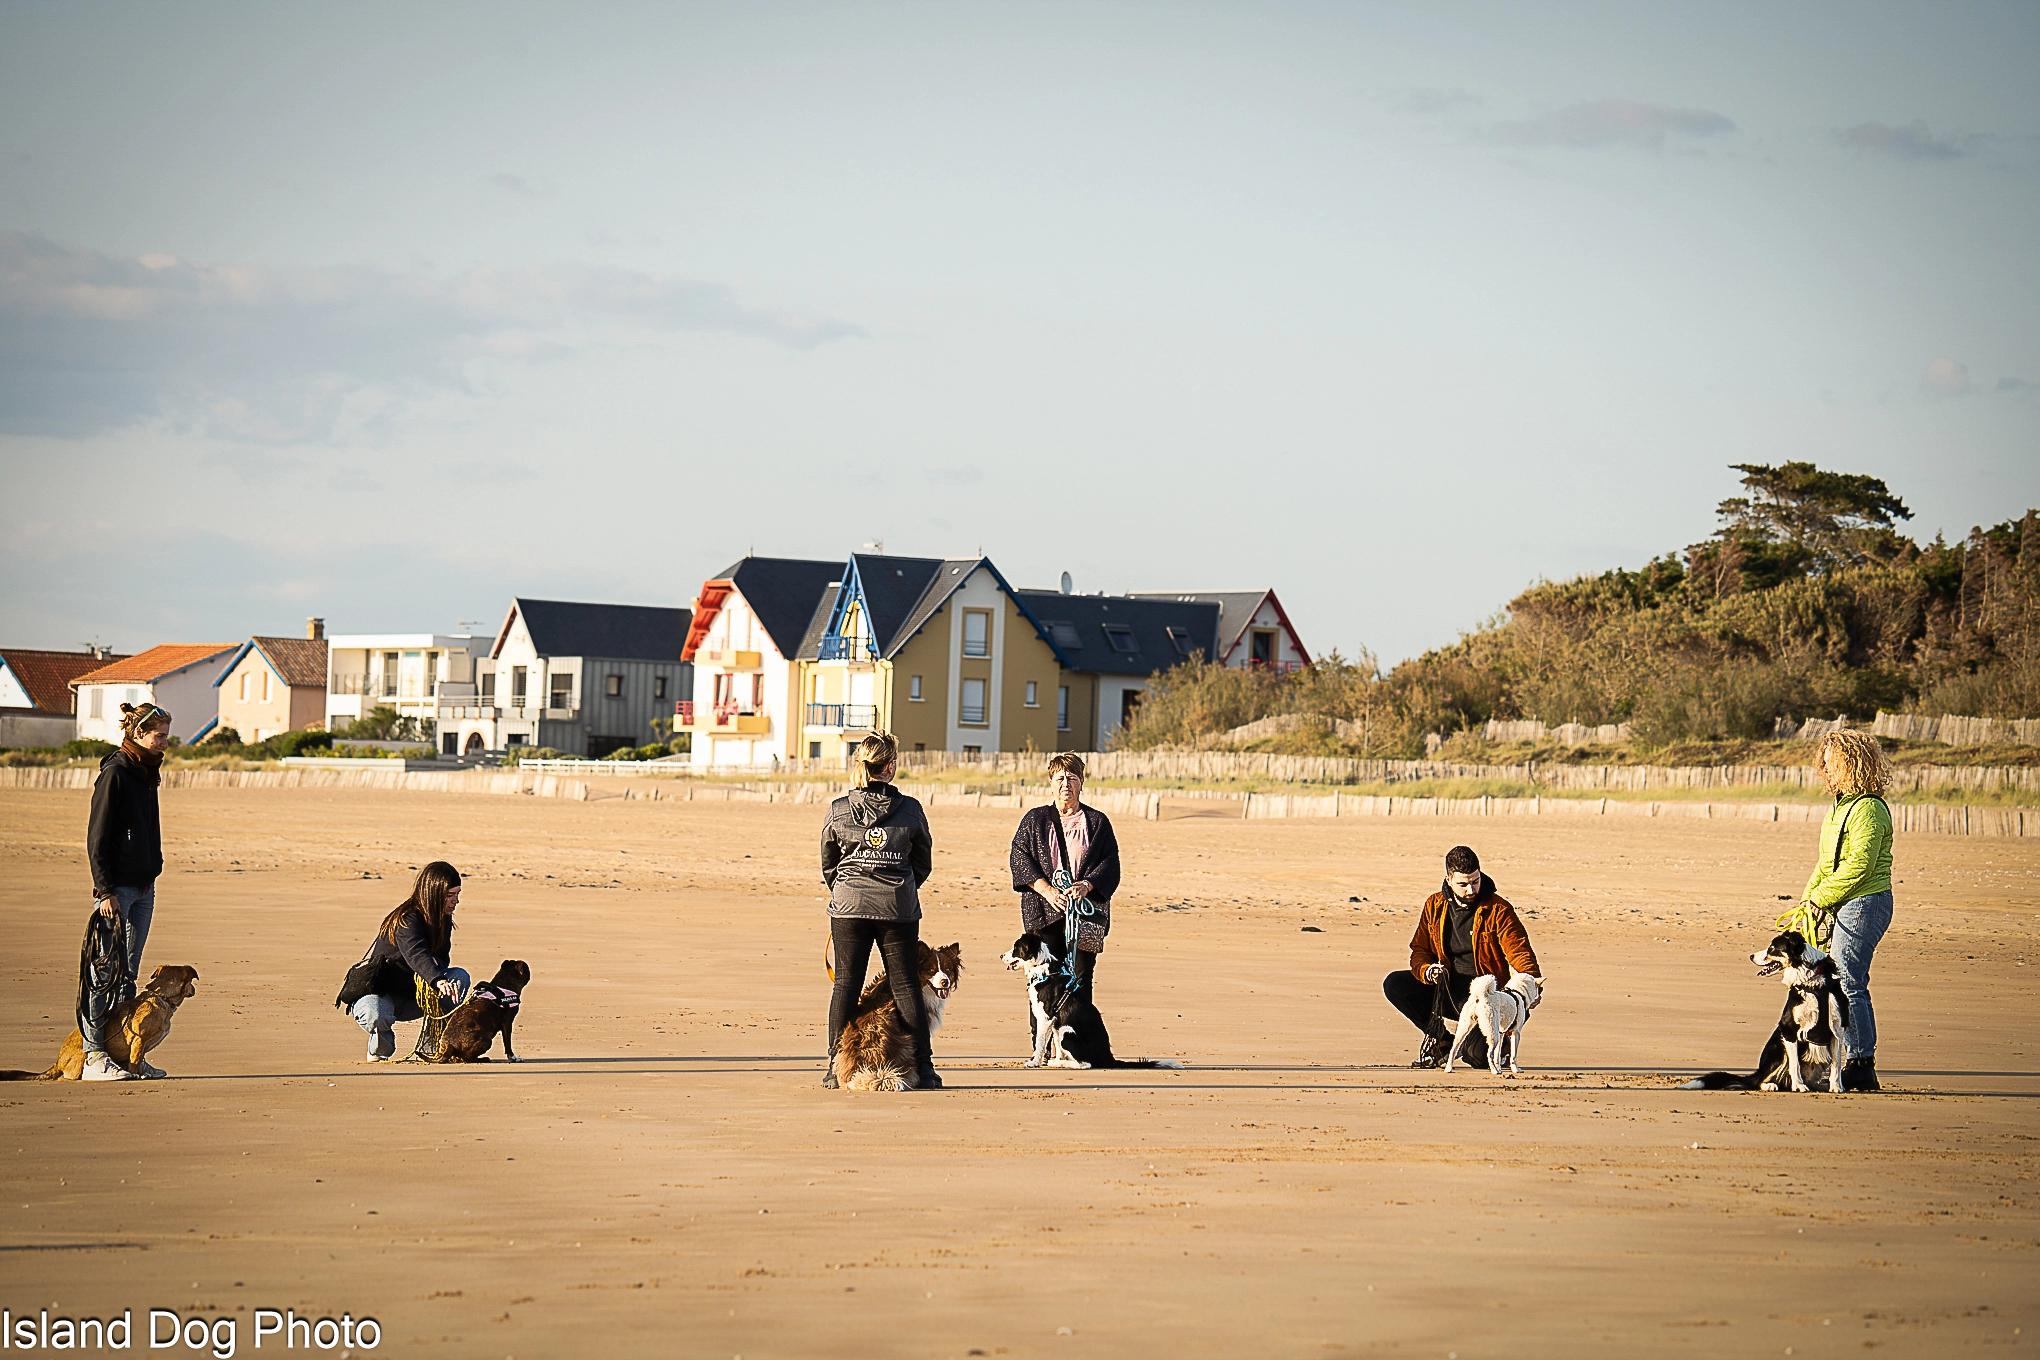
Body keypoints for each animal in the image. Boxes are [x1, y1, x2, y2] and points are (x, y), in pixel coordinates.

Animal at [0, 966, 200, 1084]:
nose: (195, 990)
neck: (162, 997)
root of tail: (57, 1062)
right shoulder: (139, 1040)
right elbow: (135, 1060)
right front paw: (136, 1074)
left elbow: (138, 1058)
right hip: (81, 1057)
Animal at [991, 937, 1175, 1076]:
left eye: (1016, 948)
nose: (1000, 955)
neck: (1042, 969)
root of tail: (1109, 1058)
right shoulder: (1055, 1022)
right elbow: (1054, 1045)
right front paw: (1054, 1060)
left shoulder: (1046, 1018)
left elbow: (1040, 1043)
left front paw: (1034, 1062)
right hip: (1062, 1029)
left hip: (1067, 1033)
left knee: (1085, 1064)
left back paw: (1062, 1064)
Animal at [1680, 937, 1860, 1092]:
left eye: (1772, 948)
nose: (1751, 956)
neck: (1811, 982)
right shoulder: (1788, 1028)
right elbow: (1794, 1064)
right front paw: (1798, 1086)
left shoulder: (1837, 1029)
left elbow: (1836, 1064)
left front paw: (1836, 1087)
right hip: (1777, 1048)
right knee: (1760, 1081)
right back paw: (1771, 1085)